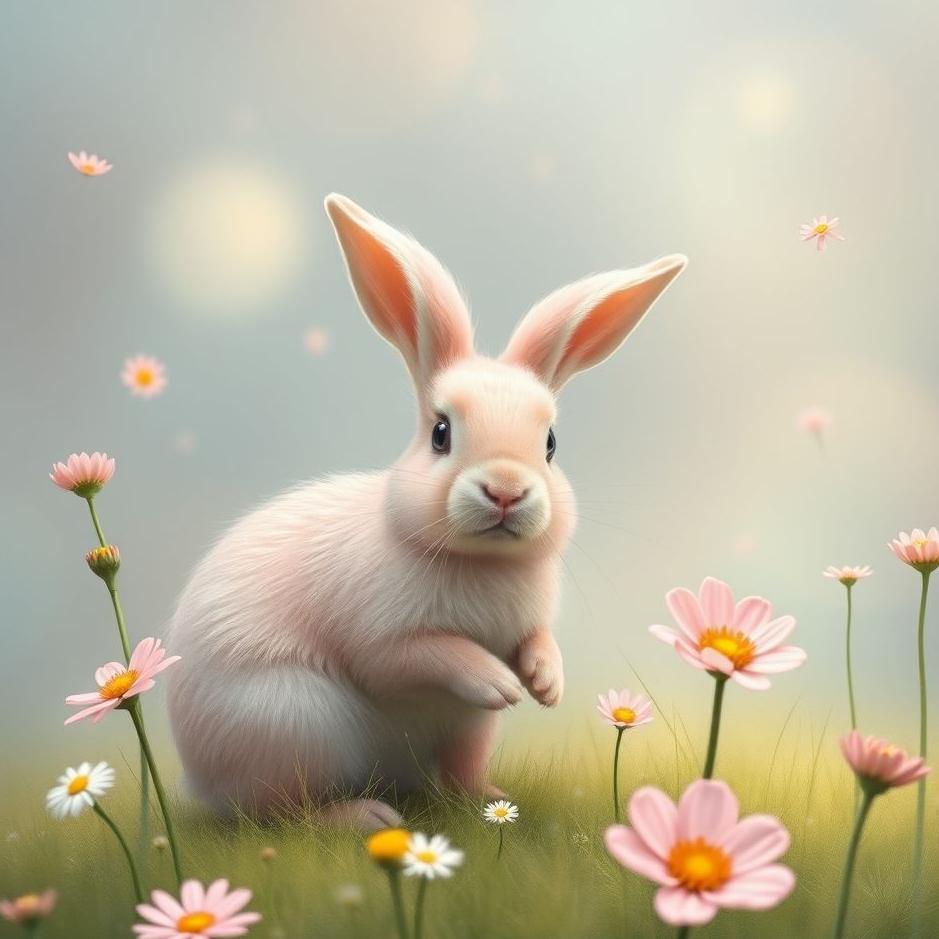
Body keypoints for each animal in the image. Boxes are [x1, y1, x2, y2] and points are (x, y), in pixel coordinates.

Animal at [165, 194, 686, 828]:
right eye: (441, 433)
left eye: (550, 443)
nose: (506, 489)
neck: (482, 561)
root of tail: (199, 779)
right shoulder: (383, 640)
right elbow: (425, 654)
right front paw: (498, 681)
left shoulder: (519, 634)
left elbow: (536, 641)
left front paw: (544, 683)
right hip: (294, 721)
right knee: (280, 812)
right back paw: (366, 817)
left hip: (465, 728)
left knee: (461, 768)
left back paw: (488, 799)